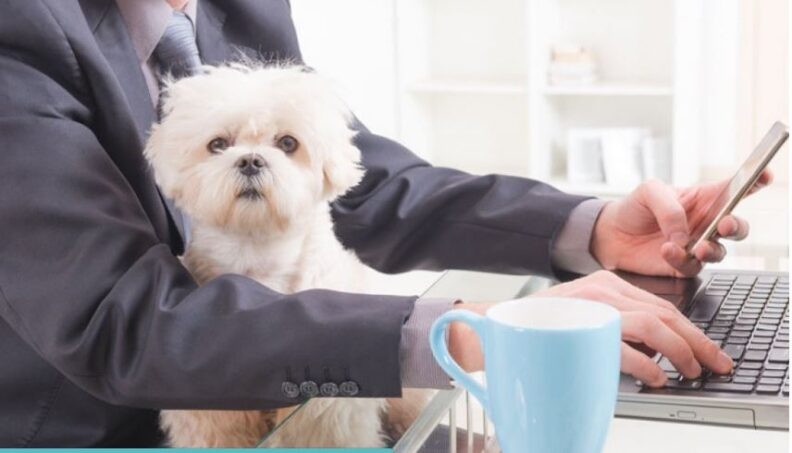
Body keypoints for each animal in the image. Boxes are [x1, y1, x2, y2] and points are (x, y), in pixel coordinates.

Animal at [145, 65, 424, 446]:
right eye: (218, 144)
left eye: (288, 143)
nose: (250, 161)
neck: (260, 256)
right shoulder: (208, 413)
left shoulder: (327, 414)